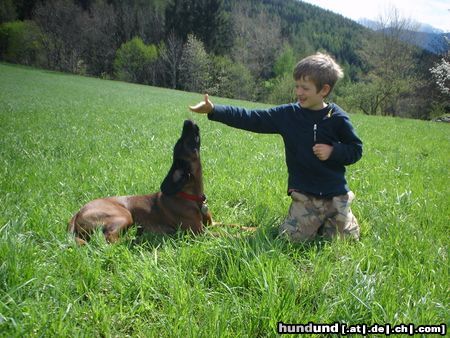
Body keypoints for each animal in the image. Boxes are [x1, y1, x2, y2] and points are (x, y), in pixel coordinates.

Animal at [68, 120, 213, 244]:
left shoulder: (211, 224)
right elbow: (218, 235)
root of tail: (77, 212)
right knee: (109, 239)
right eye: (183, 142)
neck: (190, 196)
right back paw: (137, 238)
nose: (187, 121)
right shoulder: (198, 233)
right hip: (123, 215)